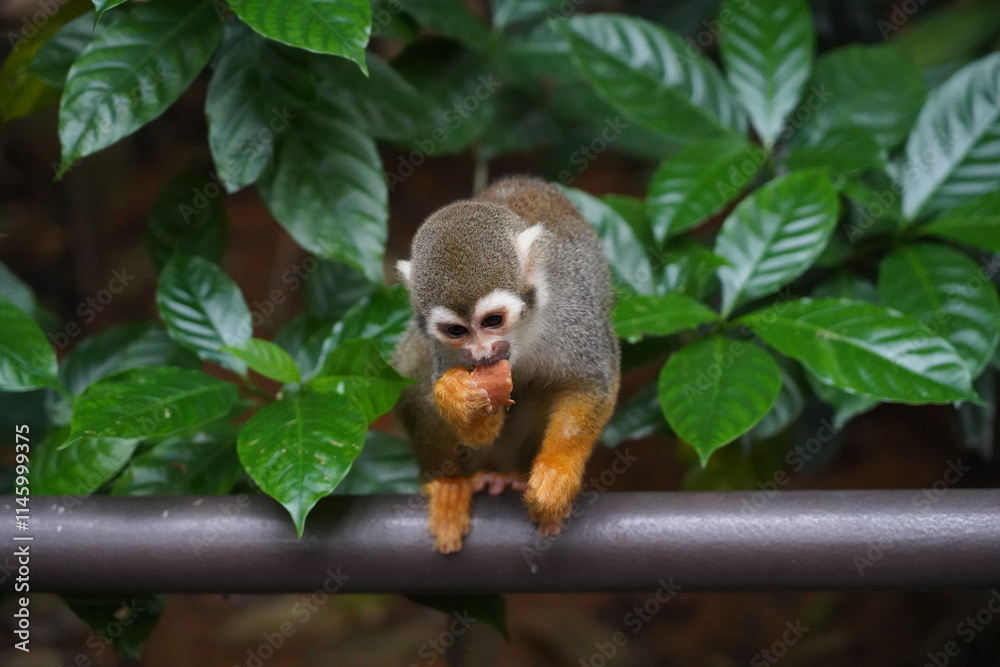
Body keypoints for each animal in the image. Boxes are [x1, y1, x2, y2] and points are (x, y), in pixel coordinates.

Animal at [392, 176, 620, 553]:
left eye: (493, 320)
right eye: (457, 331)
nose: (483, 353)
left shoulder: (573, 310)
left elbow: (590, 382)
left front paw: (556, 474)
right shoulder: (439, 343)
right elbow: (475, 429)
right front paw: (462, 400)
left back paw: (513, 475)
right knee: (414, 366)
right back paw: (451, 484)